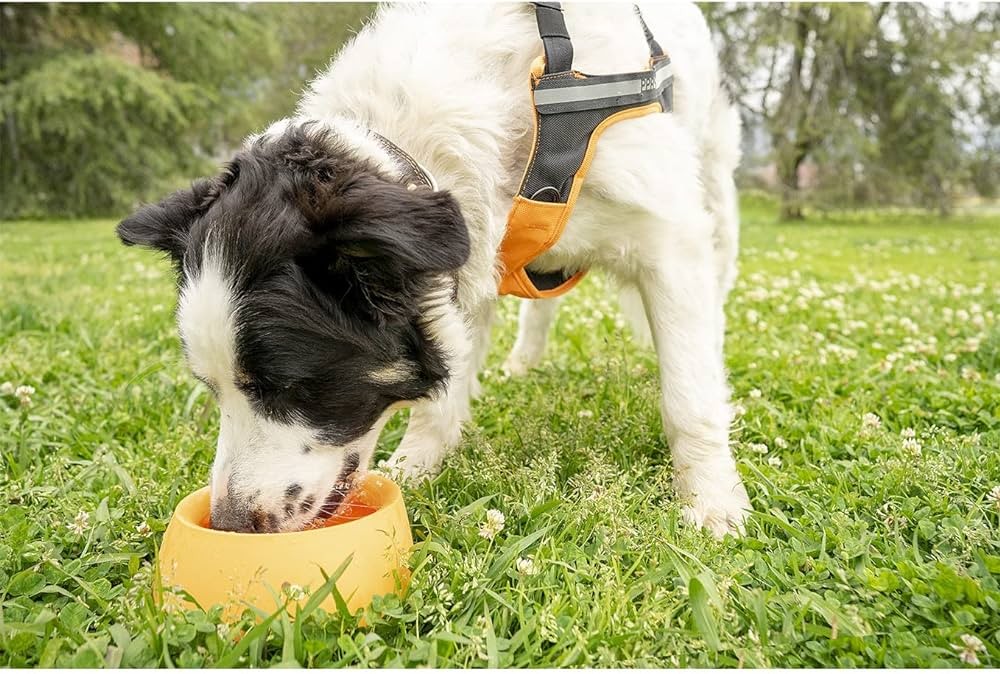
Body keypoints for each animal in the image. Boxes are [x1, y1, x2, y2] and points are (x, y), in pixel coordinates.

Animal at [119, 1, 752, 536]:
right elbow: (443, 388)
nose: (227, 525)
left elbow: (688, 398)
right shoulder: (466, 257)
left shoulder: (669, 240)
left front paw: (712, 502)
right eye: (210, 388)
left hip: (717, 192)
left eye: (290, 387)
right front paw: (416, 466)